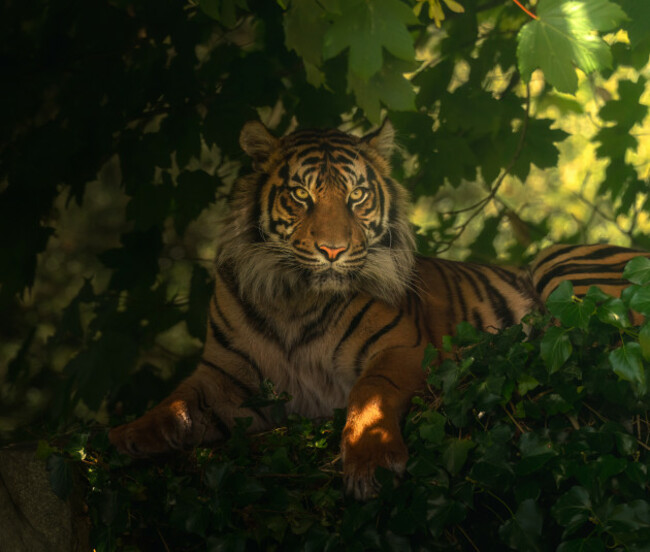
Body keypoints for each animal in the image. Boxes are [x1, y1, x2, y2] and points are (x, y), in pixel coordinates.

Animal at [109, 120, 648, 500]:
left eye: (356, 195)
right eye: (301, 194)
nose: (332, 250)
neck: (295, 298)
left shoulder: (401, 349)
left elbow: (368, 393)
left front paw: (371, 462)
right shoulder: (223, 377)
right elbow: (177, 402)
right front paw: (126, 437)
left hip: (561, 265)